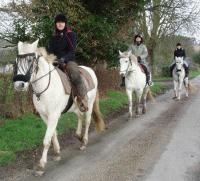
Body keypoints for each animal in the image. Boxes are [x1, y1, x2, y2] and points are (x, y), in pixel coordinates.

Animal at [12, 39, 104, 175]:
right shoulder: (45, 116)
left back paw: (84, 141)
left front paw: (41, 166)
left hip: (90, 104)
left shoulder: (54, 115)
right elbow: (53, 134)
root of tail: (90, 70)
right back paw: (79, 136)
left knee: (87, 121)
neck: (46, 87)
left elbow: (46, 140)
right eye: (16, 61)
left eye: (30, 60)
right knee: (80, 116)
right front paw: (57, 153)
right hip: (75, 107)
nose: (19, 84)